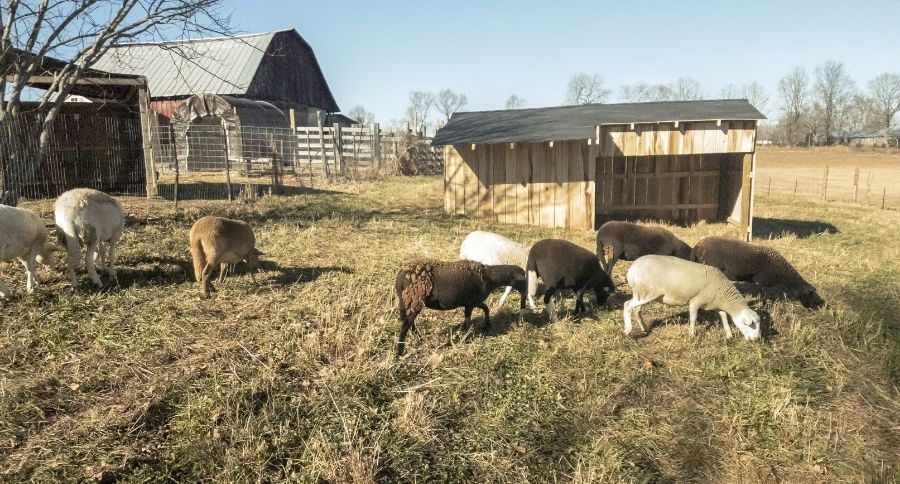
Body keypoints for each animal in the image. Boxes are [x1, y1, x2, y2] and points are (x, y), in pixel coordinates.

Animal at [395, 259, 527, 356]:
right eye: (523, 280)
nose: (525, 298)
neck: (490, 277)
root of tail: (400, 278)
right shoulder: (471, 302)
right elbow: (470, 318)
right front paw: (465, 336)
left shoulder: (472, 302)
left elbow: (485, 308)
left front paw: (486, 327)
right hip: (414, 299)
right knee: (405, 325)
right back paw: (399, 352)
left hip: (408, 301)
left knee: (408, 322)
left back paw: (418, 338)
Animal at [624, 255, 760, 340]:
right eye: (752, 325)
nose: (756, 339)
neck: (723, 293)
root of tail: (632, 269)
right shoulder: (695, 301)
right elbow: (693, 318)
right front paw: (692, 335)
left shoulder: (716, 303)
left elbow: (724, 316)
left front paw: (729, 335)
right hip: (646, 292)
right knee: (627, 305)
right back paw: (627, 330)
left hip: (642, 293)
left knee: (637, 310)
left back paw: (644, 329)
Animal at [691, 236, 824, 309]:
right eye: (810, 294)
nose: (817, 307)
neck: (783, 274)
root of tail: (698, 245)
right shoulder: (762, 281)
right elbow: (763, 295)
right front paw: (764, 305)